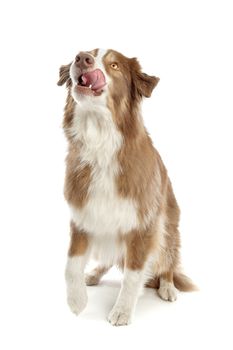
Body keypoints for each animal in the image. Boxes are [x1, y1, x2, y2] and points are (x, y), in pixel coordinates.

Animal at [57, 48, 196, 326]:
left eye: (114, 65)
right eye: (88, 53)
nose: (82, 58)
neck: (100, 141)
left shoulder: (143, 225)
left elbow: (133, 275)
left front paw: (121, 311)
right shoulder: (83, 216)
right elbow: (71, 265)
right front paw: (76, 301)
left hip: (168, 232)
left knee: (169, 264)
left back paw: (167, 286)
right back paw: (93, 275)